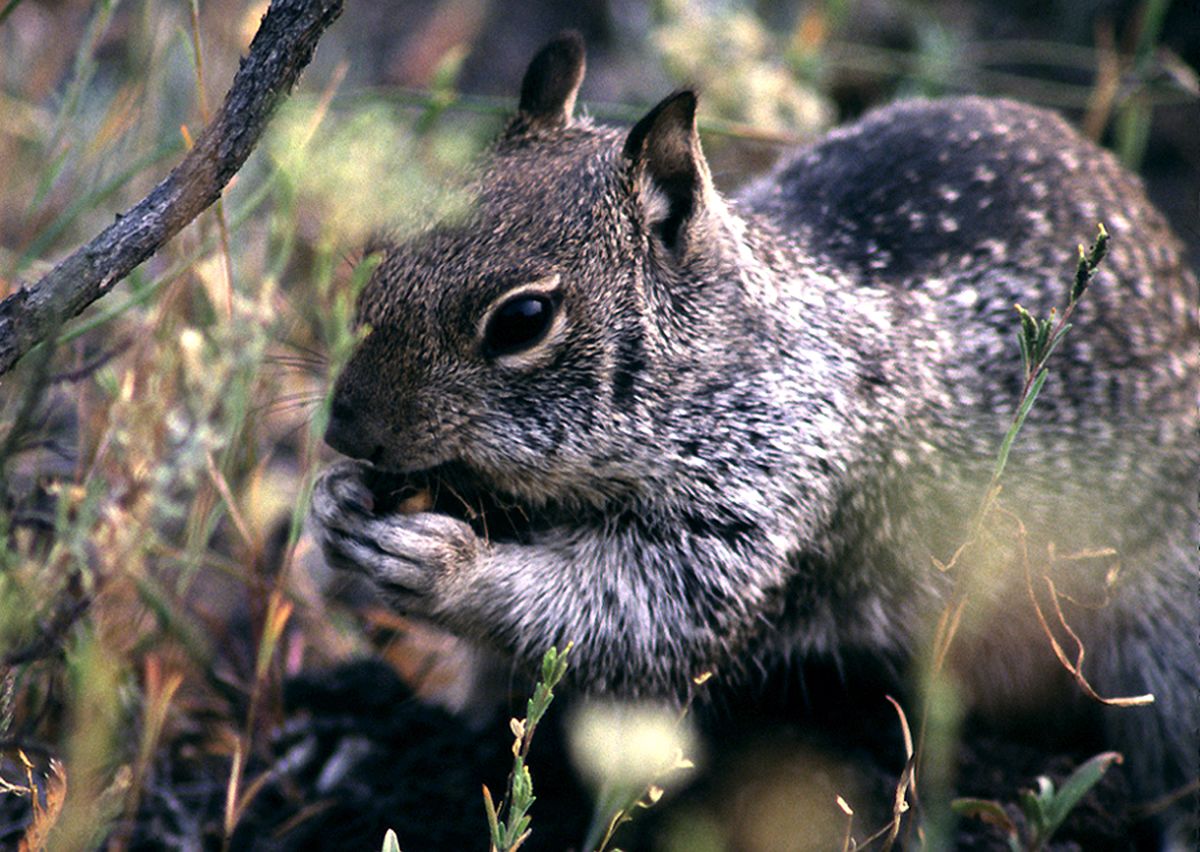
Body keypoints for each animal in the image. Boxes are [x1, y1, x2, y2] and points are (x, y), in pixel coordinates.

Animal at [312, 31, 1200, 840]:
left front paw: (444, 565)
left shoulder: (760, 504)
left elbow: (639, 614)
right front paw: (331, 508)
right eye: (384, 249)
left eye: (523, 319)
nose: (345, 428)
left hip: (1166, 628)